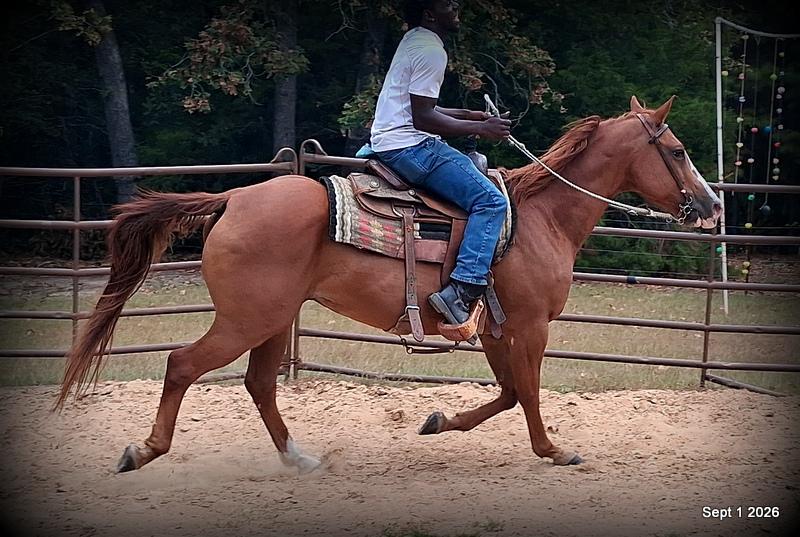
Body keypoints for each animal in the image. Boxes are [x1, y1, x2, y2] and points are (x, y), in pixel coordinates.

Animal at [56, 96, 722, 473]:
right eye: (678, 150)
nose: (712, 206)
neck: (540, 217)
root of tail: (234, 199)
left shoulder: (495, 329)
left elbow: (509, 393)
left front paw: (437, 422)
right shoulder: (530, 326)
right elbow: (529, 394)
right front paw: (554, 450)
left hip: (272, 319)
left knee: (259, 385)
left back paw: (298, 458)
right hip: (246, 318)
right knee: (182, 365)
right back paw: (143, 450)